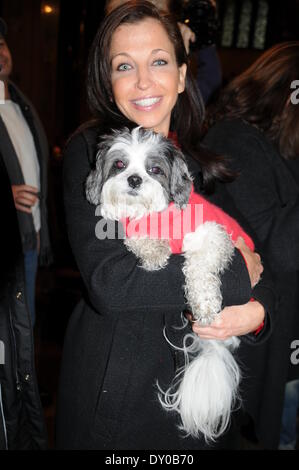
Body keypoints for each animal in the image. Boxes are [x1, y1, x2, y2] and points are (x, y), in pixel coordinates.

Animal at [85, 126, 254, 442]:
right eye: (120, 164)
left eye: (154, 169)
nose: (135, 179)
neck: (156, 216)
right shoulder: (135, 228)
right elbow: (139, 239)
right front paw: (154, 252)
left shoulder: (214, 236)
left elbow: (199, 266)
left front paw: (204, 303)